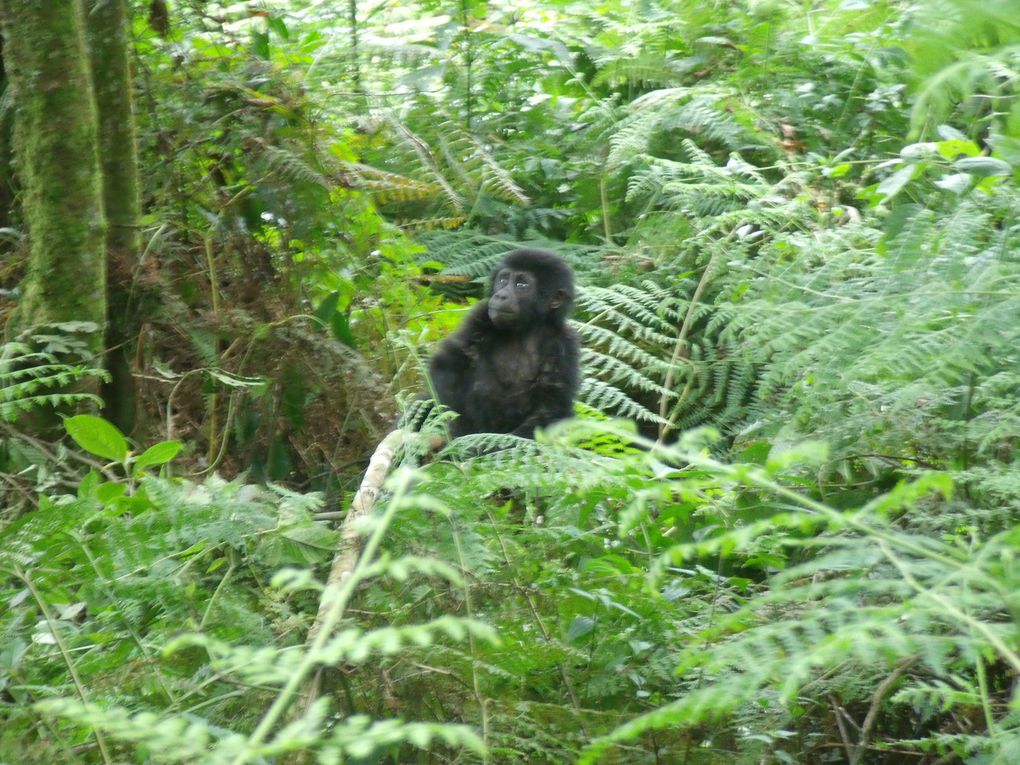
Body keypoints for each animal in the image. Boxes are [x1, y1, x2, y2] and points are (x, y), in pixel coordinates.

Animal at [426, 248, 579, 436]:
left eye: (522, 285)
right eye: (503, 280)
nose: (501, 295)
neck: (525, 329)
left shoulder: (562, 343)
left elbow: (552, 407)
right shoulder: (480, 316)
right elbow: (449, 363)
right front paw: (451, 423)